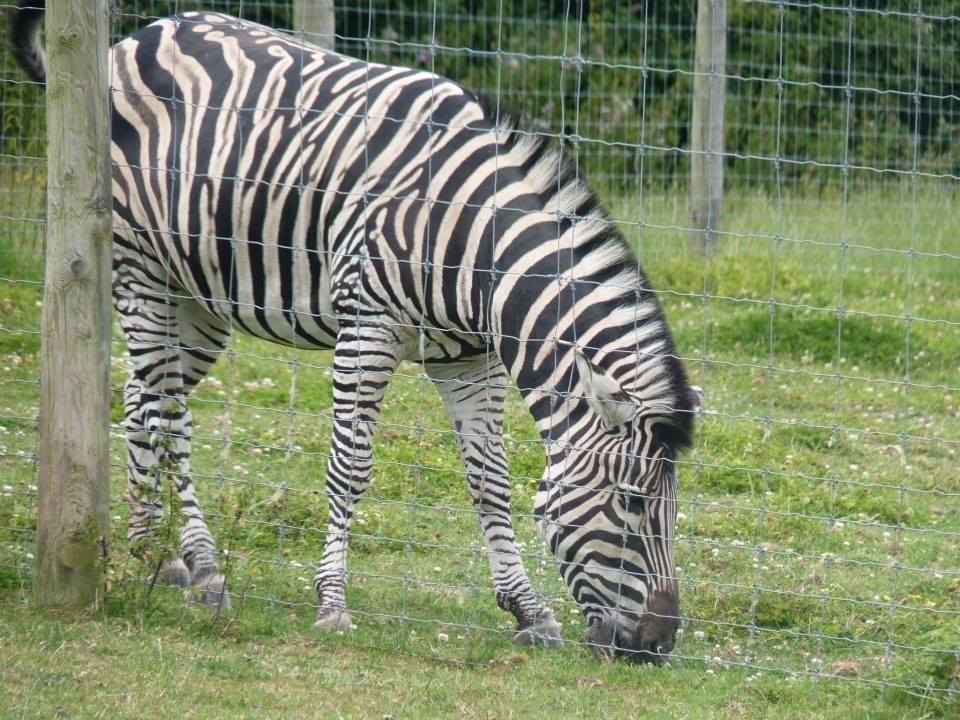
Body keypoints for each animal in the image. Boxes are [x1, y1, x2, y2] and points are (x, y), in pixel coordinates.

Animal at [10, 5, 701, 663]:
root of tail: (135, 41)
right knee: (169, 415)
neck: (474, 250)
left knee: (141, 399)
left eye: (674, 509)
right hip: (139, 269)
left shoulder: (467, 358)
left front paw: (528, 612)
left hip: (197, 296)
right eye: (632, 503)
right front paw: (333, 605)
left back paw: (153, 553)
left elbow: (490, 481)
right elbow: (351, 467)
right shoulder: (369, 326)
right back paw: (202, 568)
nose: (658, 645)